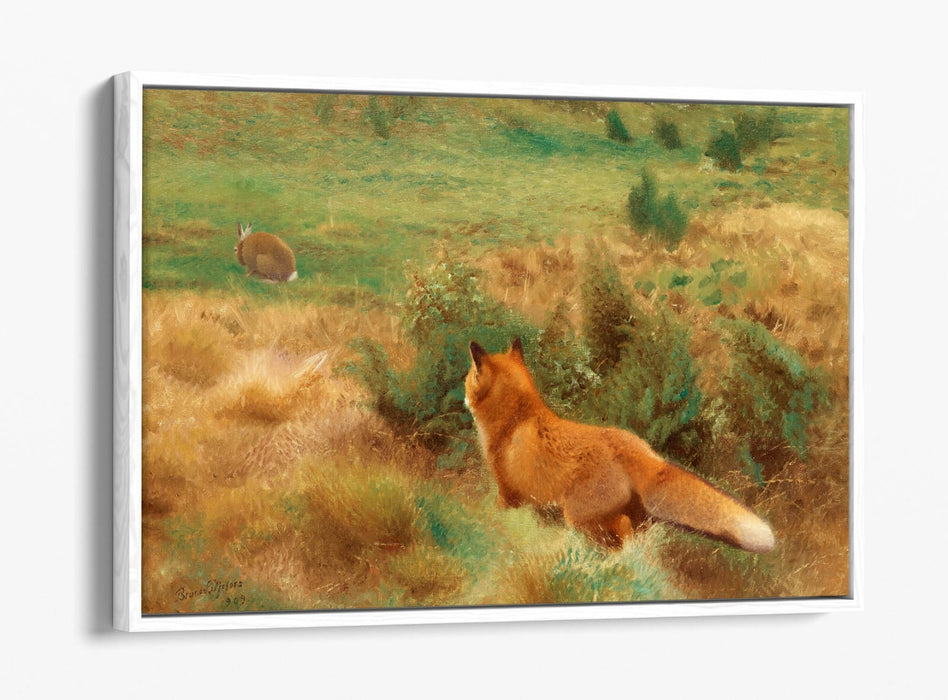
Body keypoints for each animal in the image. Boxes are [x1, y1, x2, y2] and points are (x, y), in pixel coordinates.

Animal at [464, 338, 775, 553]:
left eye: (468, 378)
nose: (463, 395)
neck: (516, 419)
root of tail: (644, 454)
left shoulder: (508, 493)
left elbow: (495, 514)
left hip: (579, 517)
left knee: (618, 534)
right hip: (633, 518)